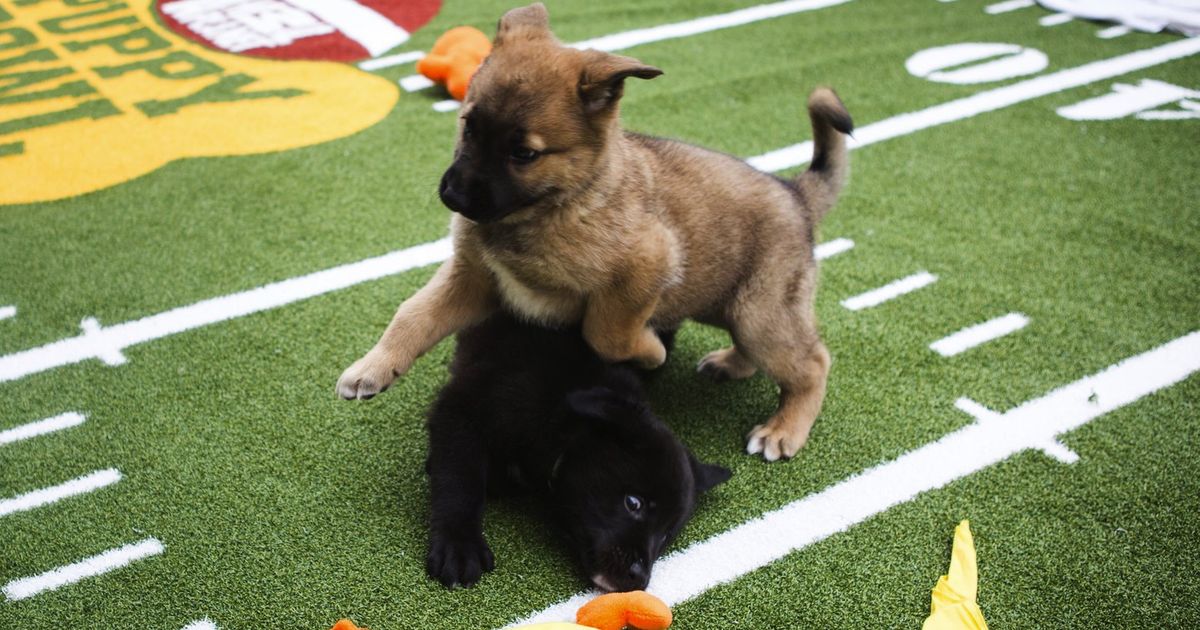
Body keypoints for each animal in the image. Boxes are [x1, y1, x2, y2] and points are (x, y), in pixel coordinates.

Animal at [340, 2, 854, 458]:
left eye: (524, 154)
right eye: (468, 126)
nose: (453, 197)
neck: (553, 208)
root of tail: (795, 192)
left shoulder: (647, 265)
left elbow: (605, 331)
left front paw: (649, 351)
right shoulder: (473, 278)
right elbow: (413, 314)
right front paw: (374, 367)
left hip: (759, 313)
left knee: (813, 363)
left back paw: (784, 429)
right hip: (728, 303)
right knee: (763, 352)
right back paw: (731, 364)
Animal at [427, 314, 734, 590]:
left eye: (667, 534)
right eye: (633, 503)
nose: (639, 579)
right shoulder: (463, 407)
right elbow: (460, 480)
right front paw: (459, 546)